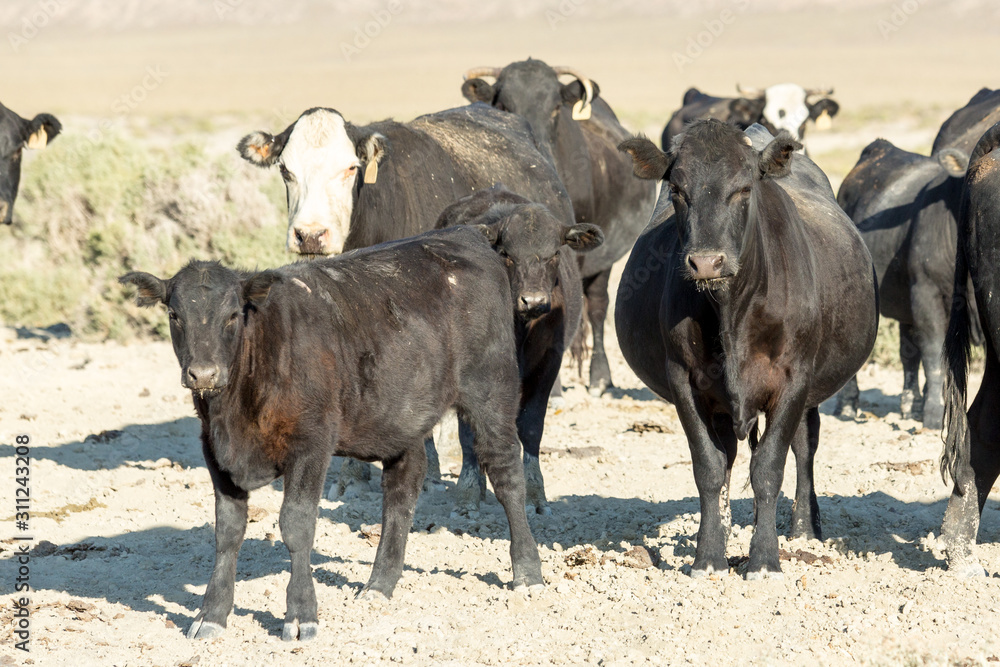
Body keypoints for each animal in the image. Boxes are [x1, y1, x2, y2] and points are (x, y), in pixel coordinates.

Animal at [119, 226, 544, 641]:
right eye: (174, 314)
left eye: (233, 315)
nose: (204, 374)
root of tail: (466, 233)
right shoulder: (216, 454)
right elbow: (227, 532)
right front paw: (211, 615)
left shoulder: (311, 446)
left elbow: (296, 525)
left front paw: (300, 615)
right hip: (400, 414)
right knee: (402, 488)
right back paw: (379, 584)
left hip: (491, 390)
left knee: (506, 472)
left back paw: (528, 573)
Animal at [435, 185, 604, 513]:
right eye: (506, 254)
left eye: (554, 254)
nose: (533, 300)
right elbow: (467, 432)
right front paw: (468, 491)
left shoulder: (549, 362)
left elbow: (531, 426)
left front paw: (535, 492)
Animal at [617, 121, 877, 579]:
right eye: (677, 190)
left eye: (743, 189)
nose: (706, 262)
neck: (731, 310)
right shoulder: (683, 380)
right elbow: (709, 466)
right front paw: (708, 556)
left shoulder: (793, 380)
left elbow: (769, 467)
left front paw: (765, 559)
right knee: (730, 455)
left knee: (803, 447)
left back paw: (803, 528)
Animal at [831, 139, 977, 429]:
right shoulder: (926, 293)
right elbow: (934, 352)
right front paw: (935, 413)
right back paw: (848, 407)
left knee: (908, 352)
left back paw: (911, 407)